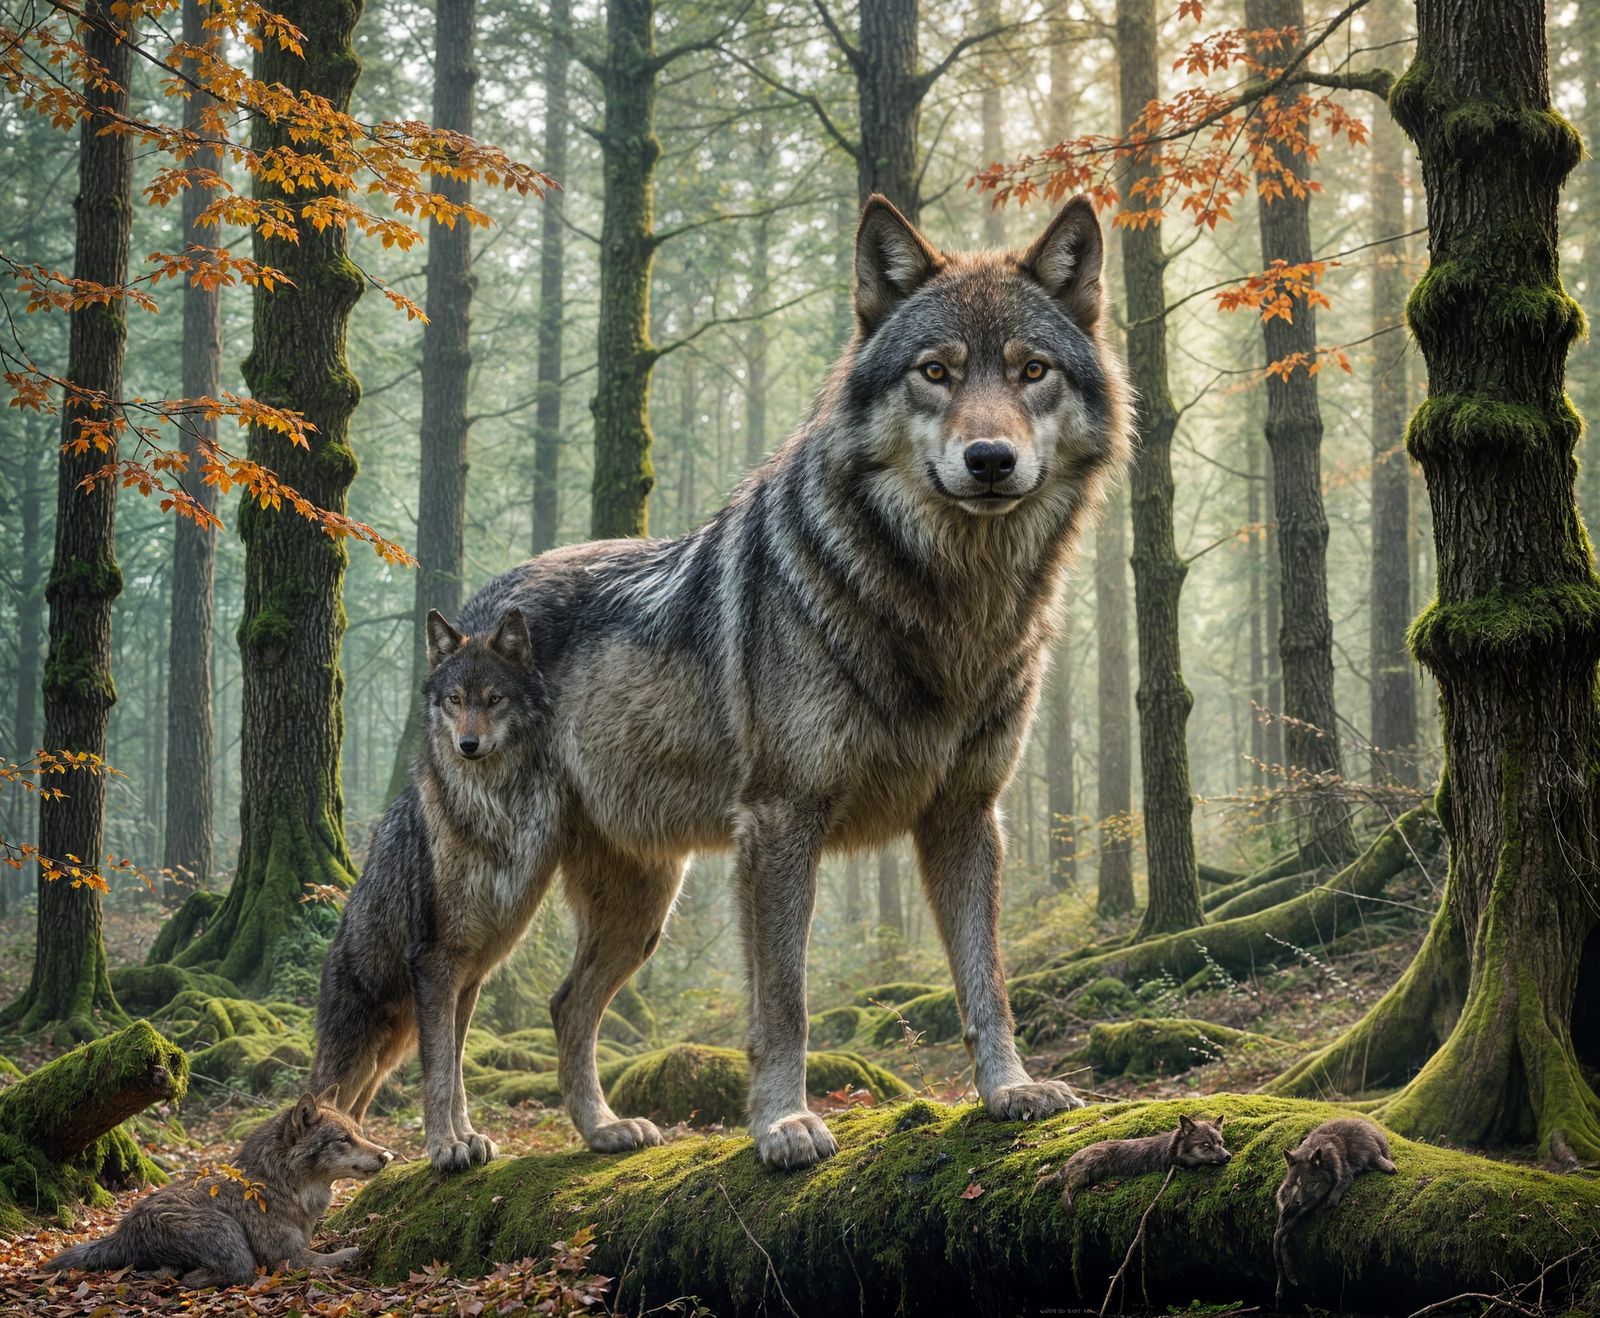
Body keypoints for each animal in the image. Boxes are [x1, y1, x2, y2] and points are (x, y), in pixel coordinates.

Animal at [42, 1093, 392, 1288]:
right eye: (343, 1139)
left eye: (360, 1133)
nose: (387, 1156)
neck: (277, 1185)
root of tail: (122, 1232)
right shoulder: (288, 1259)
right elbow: (340, 1255)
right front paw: (359, 1251)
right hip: (230, 1237)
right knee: (209, 1278)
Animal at [314, 192, 1130, 1172]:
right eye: (935, 372)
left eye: (1031, 371)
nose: (990, 460)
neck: (944, 602)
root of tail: (466, 623)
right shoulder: (780, 823)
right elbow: (785, 1002)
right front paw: (783, 1125)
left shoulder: (967, 816)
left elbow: (987, 981)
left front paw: (1010, 1090)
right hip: (504, 877)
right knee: (439, 974)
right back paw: (453, 1139)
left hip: (639, 904)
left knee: (559, 1001)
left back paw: (602, 1129)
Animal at [1058, 1114, 1231, 1209]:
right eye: (1206, 1144)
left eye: (1221, 1142)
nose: (1228, 1156)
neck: (1175, 1149)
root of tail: (1065, 1165)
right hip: (1096, 1161)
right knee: (1066, 1188)